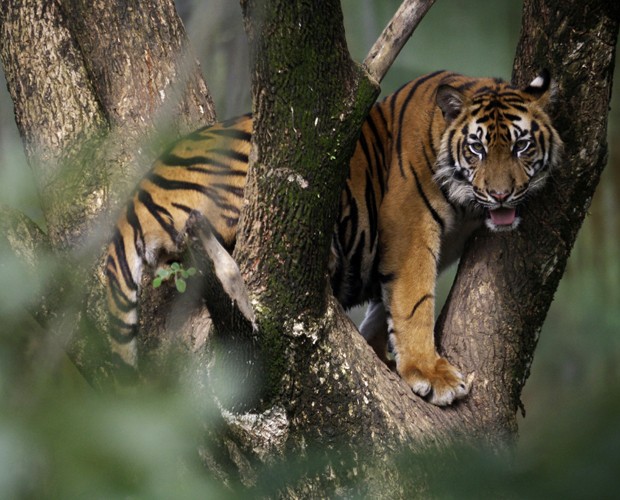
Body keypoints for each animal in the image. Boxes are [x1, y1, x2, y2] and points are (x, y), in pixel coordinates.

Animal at [105, 70, 560, 404]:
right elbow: (413, 302)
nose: (501, 194)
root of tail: (136, 197)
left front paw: (390, 360)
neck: (468, 207)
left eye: (521, 146)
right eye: (477, 149)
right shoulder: (409, 228)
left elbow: (385, 310)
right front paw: (431, 374)